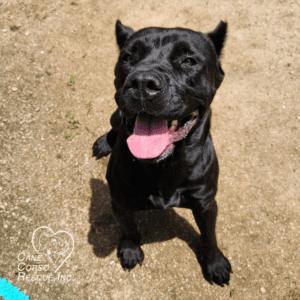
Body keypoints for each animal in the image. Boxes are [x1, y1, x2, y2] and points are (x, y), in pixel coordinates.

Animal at [93, 19, 232, 288]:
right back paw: (104, 143)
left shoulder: (206, 204)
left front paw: (215, 263)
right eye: (128, 57)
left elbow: (209, 236)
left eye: (189, 60)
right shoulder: (120, 200)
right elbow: (128, 227)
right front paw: (130, 249)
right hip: (116, 114)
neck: (166, 166)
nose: (142, 83)